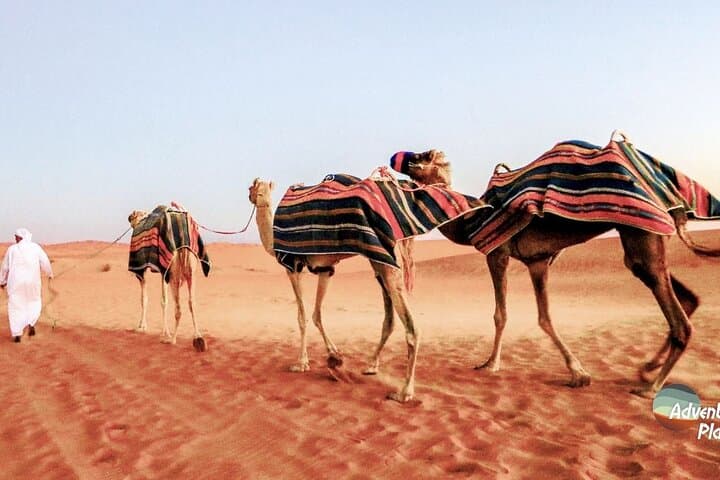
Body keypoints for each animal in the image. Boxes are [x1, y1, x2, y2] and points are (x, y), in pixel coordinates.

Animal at [128, 206, 207, 352]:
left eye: (135, 216)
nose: (130, 217)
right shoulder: (164, 272)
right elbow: (162, 301)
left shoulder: (148, 270)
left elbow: (148, 299)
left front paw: (146, 328)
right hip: (191, 270)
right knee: (191, 302)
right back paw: (198, 339)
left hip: (173, 272)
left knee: (179, 308)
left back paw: (172, 340)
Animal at [248, 150, 453, 402]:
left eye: (251, 187)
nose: (249, 195)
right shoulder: (325, 269)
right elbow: (317, 314)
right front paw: (334, 356)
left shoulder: (291, 265)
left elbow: (302, 316)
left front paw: (301, 363)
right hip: (380, 261)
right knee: (390, 317)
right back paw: (371, 366)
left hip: (385, 258)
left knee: (411, 327)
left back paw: (404, 392)